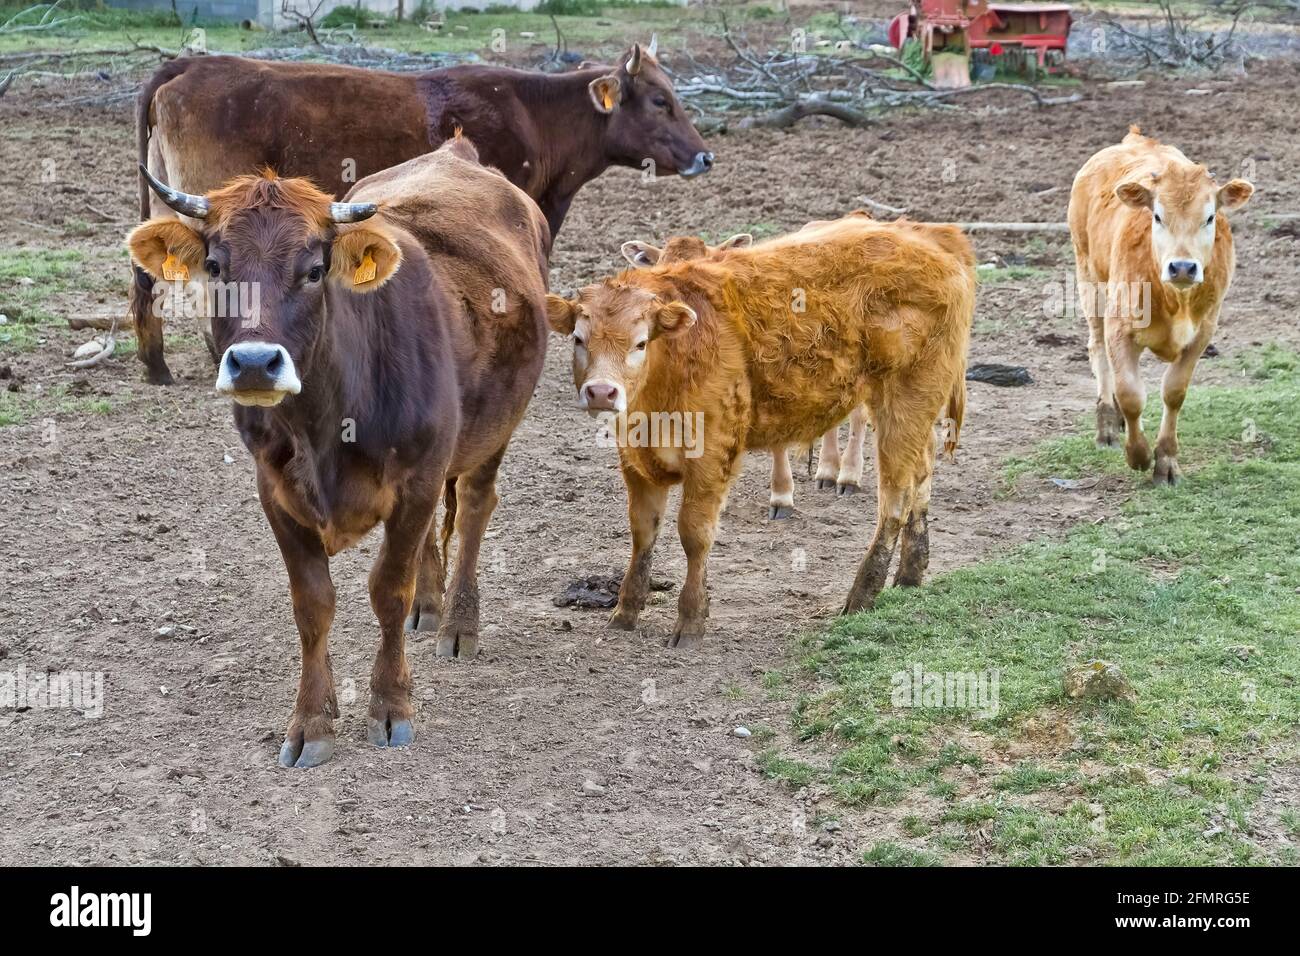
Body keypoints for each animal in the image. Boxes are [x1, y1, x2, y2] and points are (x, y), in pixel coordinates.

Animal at [125, 136, 550, 766]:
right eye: (216, 266)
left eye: (314, 270)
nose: (255, 363)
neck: (324, 426)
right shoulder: (275, 492)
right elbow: (313, 605)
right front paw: (311, 721)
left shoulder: (418, 481)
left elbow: (388, 590)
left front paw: (391, 707)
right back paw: (431, 605)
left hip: (497, 426)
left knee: (475, 505)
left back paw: (457, 623)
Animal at [1069, 126, 1253, 484]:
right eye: (1157, 216)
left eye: (1210, 217)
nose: (1182, 267)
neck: (1176, 300)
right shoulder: (1120, 326)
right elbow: (1131, 393)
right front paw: (1138, 454)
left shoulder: (1202, 333)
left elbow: (1173, 392)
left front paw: (1166, 461)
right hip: (1088, 277)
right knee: (1098, 350)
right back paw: (1107, 425)